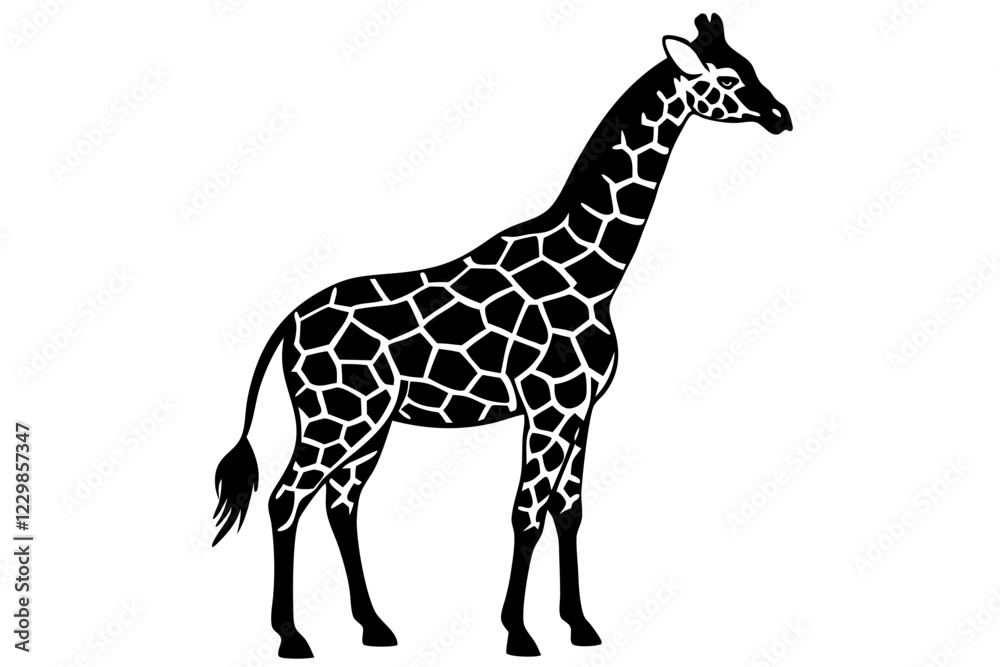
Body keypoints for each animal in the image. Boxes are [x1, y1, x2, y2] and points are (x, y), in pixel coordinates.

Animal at [211, 14, 791, 658]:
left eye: (751, 65)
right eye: (728, 77)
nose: (781, 116)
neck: (594, 273)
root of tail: (287, 324)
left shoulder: (581, 408)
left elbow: (569, 510)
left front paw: (580, 626)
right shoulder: (548, 405)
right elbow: (526, 510)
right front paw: (519, 633)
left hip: (370, 422)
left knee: (342, 503)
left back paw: (374, 626)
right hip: (335, 418)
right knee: (286, 498)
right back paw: (292, 637)